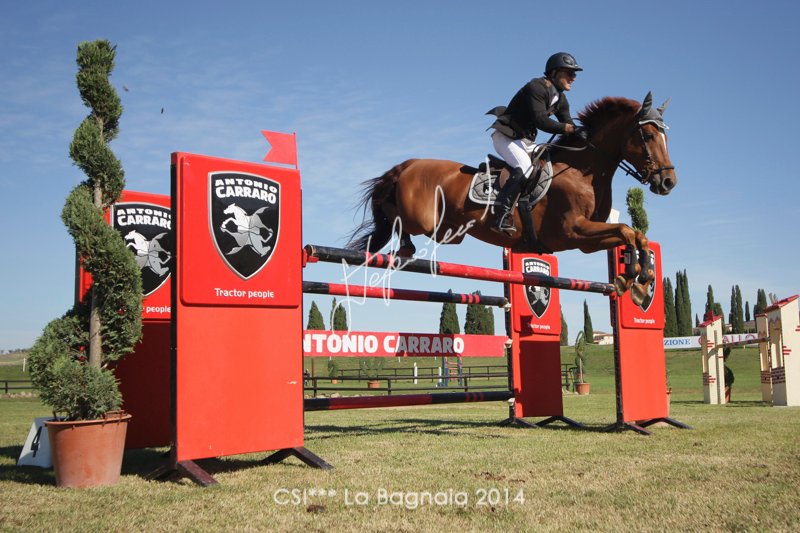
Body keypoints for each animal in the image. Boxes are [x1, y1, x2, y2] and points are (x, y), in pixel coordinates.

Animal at [347, 92, 676, 305]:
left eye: (665, 137)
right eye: (648, 136)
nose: (668, 182)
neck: (583, 170)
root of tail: (407, 165)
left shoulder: (586, 241)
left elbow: (635, 235)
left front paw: (638, 280)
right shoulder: (572, 231)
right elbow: (626, 230)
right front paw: (634, 278)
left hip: (447, 232)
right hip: (424, 220)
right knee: (398, 222)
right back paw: (405, 248)